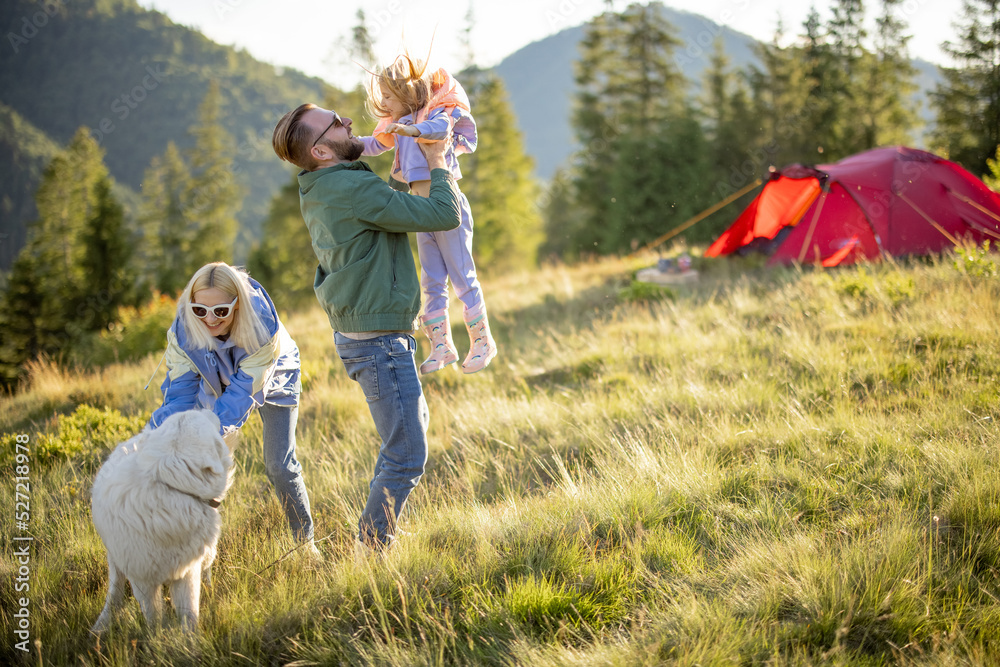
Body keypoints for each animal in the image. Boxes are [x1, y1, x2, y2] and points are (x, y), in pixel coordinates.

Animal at [90, 410, 234, 636]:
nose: (209, 409)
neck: (169, 484)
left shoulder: (187, 572)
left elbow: (189, 613)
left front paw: (190, 641)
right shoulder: (142, 581)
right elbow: (153, 616)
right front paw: (156, 637)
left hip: (206, 553)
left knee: (207, 570)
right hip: (116, 560)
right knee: (115, 590)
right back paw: (101, 624)